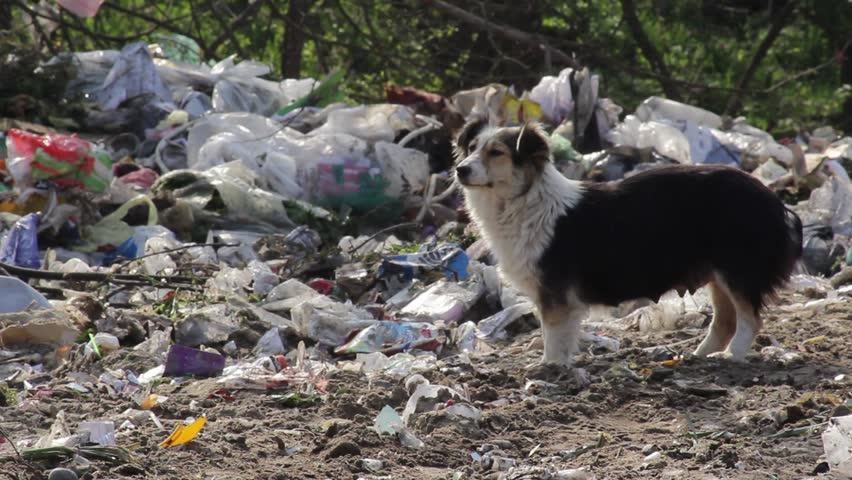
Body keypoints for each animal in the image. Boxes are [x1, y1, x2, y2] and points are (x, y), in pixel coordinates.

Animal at [456, 120, 804, 368]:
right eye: (471, 147)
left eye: (496, 152)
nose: (460, 169)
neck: (523, 201)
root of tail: (773, 199)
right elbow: (562, 336)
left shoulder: (554, 295)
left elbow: (553, 335)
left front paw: (549, 368)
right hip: (720, 275)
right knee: (726, 321)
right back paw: (700, 356)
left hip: (739, 271)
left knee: (750, 320)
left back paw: (732, 357)